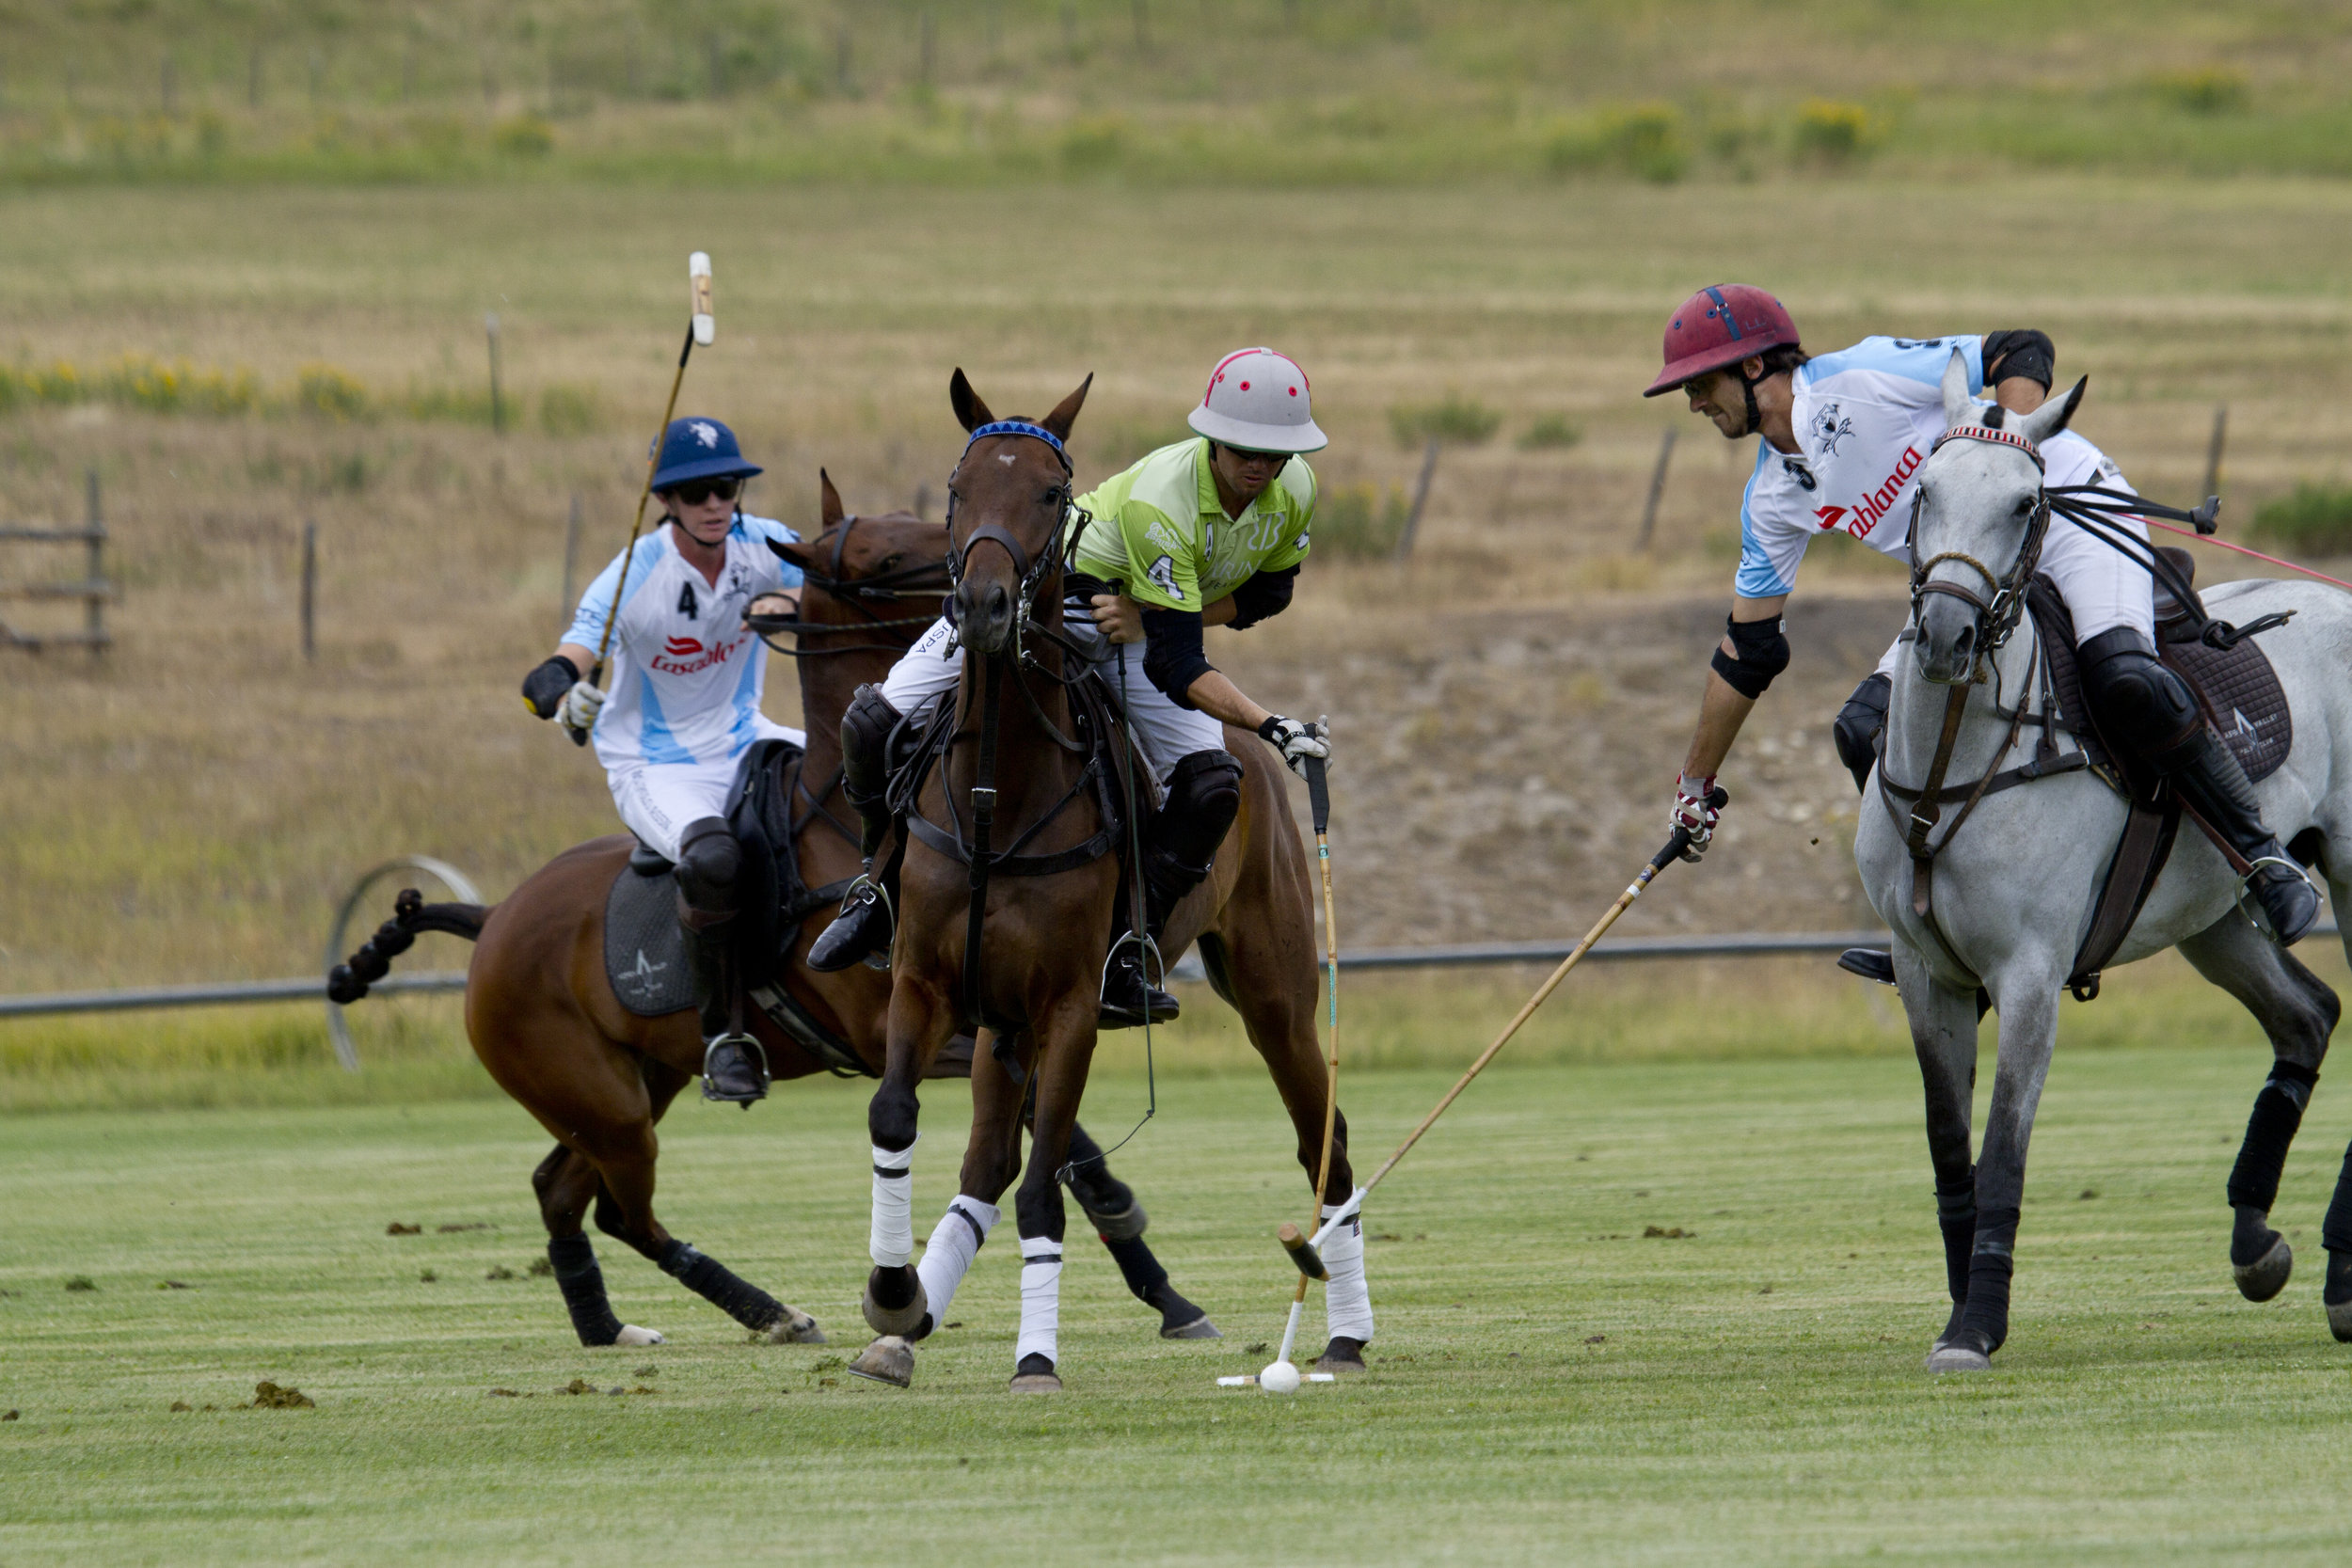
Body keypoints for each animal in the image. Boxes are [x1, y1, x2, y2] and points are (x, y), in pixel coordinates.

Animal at [336, 482, 1214, 1354]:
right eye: (886, 558)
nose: (996, 600)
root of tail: (492, 920)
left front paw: (1165, 1290)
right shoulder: (907, 1026)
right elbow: (1059, 1138)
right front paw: (1127, 1231)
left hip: (634, 1085)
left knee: (568, 1192)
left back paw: (619, 1323)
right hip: (602, 1101)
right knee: (621, 1203)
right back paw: (760, 1307)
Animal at [851, 373, 1364, 1391]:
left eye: (1053, 492)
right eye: (958, 487)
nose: (980, 605)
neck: (996, 792)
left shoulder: (1069, 1007)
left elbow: (1046, 1188)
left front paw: (1035, 1359)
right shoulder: (925, 984)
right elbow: (895, 1116)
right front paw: (890, 1298)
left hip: (1276, 993)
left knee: (1323, 1145)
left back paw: (1343, 1335)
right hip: (999, 1025)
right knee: (980, 1167)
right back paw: (909, 1321)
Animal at [1853, 359, 2352, 1372]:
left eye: (2025, 503)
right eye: (1922, 491)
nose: (1945, 637)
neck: (1952, 764)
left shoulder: (2030, 972)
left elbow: (2003, 1148)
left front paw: (1979, 1321)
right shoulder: (1925, 972)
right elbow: (1948, 1145)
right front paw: (1959, 1308)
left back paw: (2343, 1274)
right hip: (2212, 915)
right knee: (2307, 1014)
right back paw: (2258, 1240)